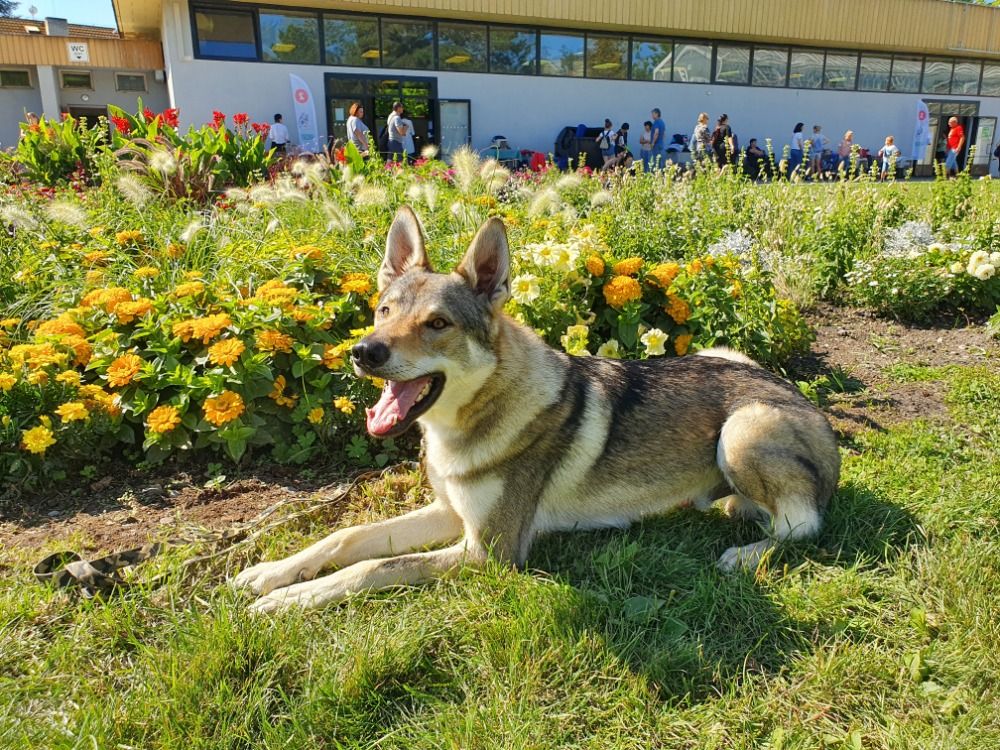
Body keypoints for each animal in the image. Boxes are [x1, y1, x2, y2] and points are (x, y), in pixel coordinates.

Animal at [234, 204, 836, 612]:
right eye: (383, 311)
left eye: (437, 323)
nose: (364, 351)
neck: (463, 430)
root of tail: (811, 409)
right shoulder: (450, 513)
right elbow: (346, 539)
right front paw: (269, 574)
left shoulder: (490, 551)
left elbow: (373, 568)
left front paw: (291, 600)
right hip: (727, 362)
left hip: (741, 429)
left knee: (805, 526)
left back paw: (745, 554)